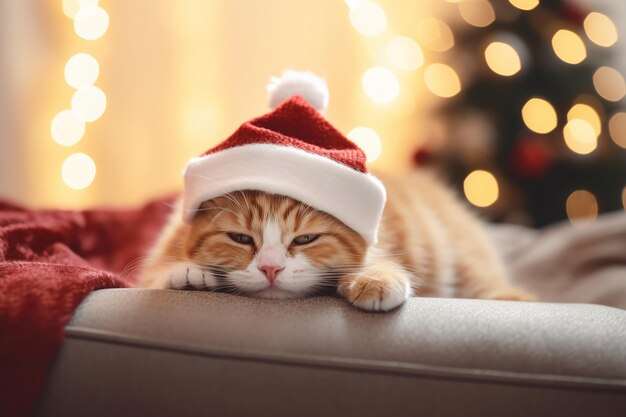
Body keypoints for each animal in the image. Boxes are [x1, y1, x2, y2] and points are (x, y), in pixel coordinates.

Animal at [139, 168, 532, 308]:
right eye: (240, 238)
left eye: (305, 239)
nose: (270, 269)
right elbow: (156, 272)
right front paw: (188, 273)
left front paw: (375, 279)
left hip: (466, 259)